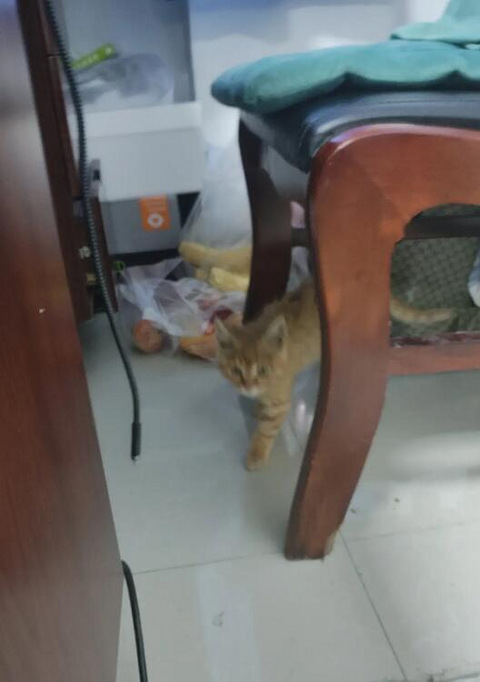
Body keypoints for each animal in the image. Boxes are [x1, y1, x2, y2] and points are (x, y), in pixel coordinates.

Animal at [215, 278, 452, 471]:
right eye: (236, 371)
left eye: (263, 370)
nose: (247, 386)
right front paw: (257, 408)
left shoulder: (279, 399)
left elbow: (267, 428)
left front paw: (256, 454)